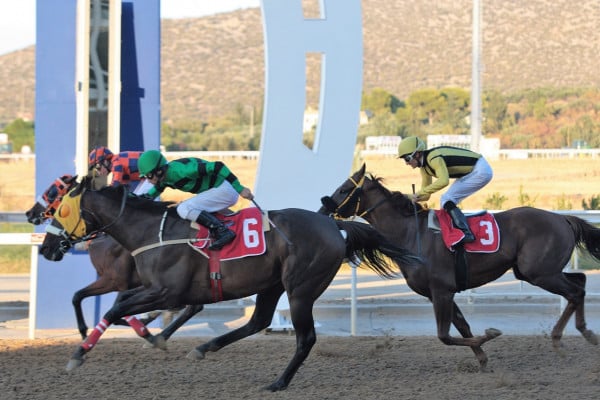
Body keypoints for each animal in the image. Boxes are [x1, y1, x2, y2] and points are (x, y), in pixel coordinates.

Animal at [26, 175, 199, 338]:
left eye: (52, 193)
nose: (29, 213)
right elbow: (78, 296)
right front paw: (84, 330)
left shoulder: (115, 280)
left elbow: (114, 305)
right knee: (194, 307)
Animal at [322, 162, 600, 368]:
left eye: (344, 189)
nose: (323, 208)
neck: (411, 233)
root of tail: (563, 219)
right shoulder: (438, 293)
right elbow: (463, 327)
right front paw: (482, 357)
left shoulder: (442, 290)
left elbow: (444, 336)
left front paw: (491, 335)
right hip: (538, 271)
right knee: (580, 281)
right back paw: (582, 332)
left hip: (539, 272)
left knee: (575, 291)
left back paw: (565, 338)